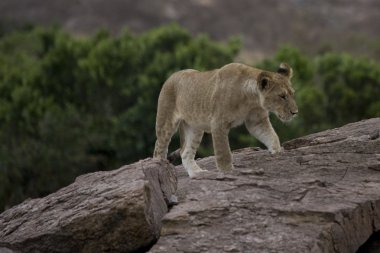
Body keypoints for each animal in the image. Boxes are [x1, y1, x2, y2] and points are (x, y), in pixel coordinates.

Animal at [153, 62, 298, 178]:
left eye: (292, 94)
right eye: (282, 96)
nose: (295, 112)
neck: (251, 99)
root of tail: (172, 76)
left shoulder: (257, 121)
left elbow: (271, 136)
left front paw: (277, 152)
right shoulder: (218, 123)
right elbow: (223, 152)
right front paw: (227, 172)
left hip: (195, 127)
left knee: (185, 152)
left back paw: (197, 173)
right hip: (166, 121)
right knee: (159, 147)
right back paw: (160, 168)